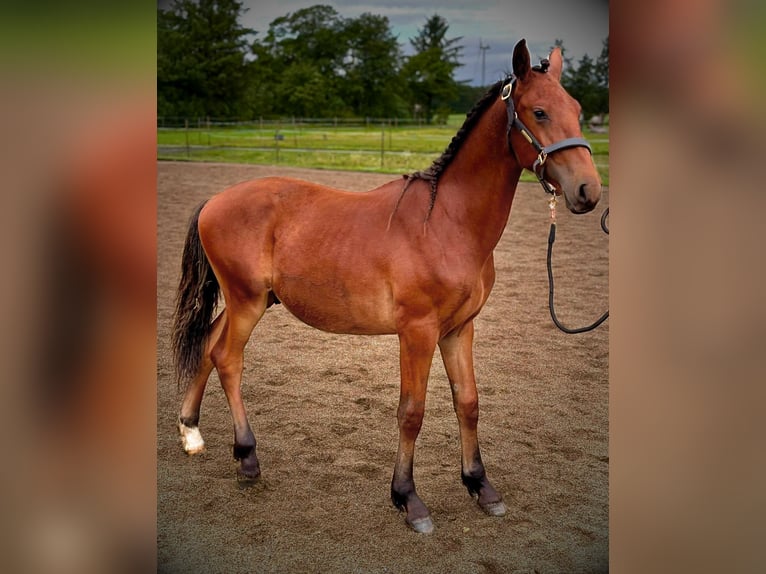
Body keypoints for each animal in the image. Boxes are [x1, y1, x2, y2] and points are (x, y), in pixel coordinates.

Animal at [171, 40, 604, 536]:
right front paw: (408, 499)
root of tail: (215, 200)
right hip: (247, 302)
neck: (446, 222)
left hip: (255, 300)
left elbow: (468, 402)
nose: (588, 191)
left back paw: (191, 432)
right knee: (228, 358)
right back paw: (247, 459)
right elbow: (411, 413)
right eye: (539, 111)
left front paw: (480, 486)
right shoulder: (417, 333)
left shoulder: (460, 330)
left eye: (577, 109)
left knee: (207, 345)